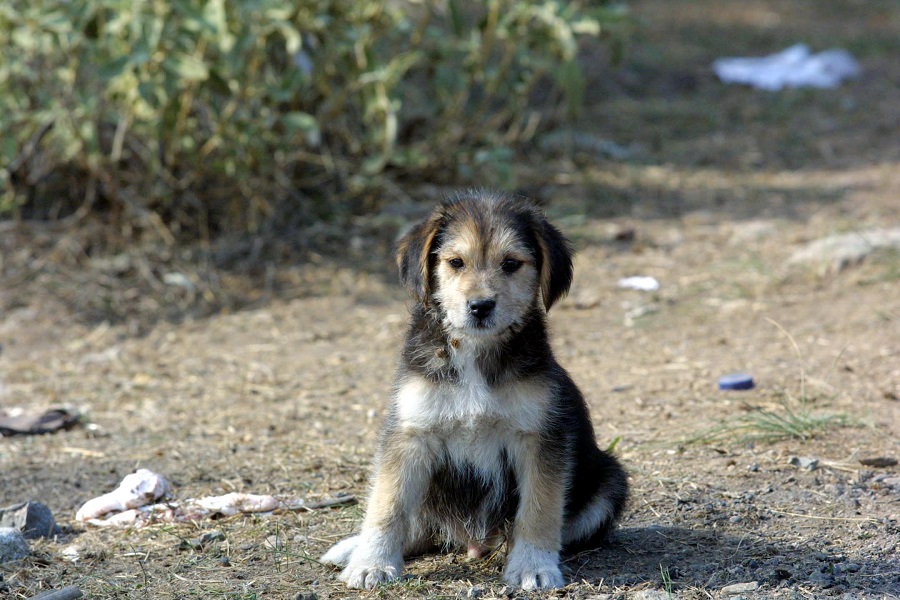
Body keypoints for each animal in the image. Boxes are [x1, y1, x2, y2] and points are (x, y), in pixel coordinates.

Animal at [322, 191, 624, 592]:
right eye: (456, 263)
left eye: (511, 264)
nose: (480, 306)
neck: (474, 352)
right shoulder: (410, 434)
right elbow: (387, 504)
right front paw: (371, 563)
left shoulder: (539, 438)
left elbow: (540, 509)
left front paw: (533, 565)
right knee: (420, 528)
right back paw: (353, 548)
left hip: (610, 482)